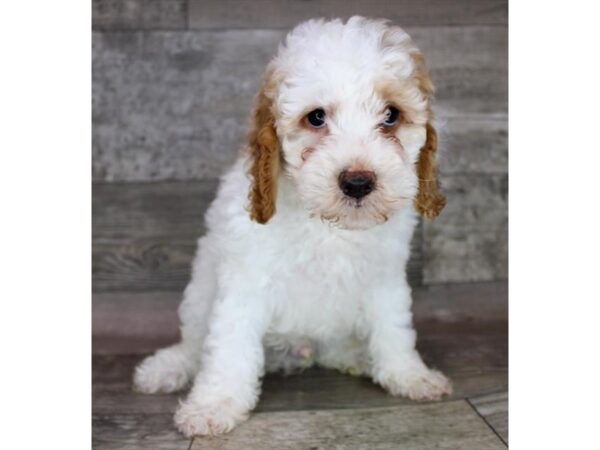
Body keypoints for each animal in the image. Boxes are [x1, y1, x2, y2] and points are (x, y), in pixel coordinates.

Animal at [131, 16, 450, 436]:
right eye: (316, 117)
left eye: (391, 115)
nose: (358, 182)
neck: (327, 224)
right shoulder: (245, 281)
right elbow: (228, 346)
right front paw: (215, 405)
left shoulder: (384, 277)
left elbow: (394, 330)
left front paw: (409, 375)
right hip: (199, 294)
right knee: (195, 343)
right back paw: (168, 367)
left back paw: (358, 357)